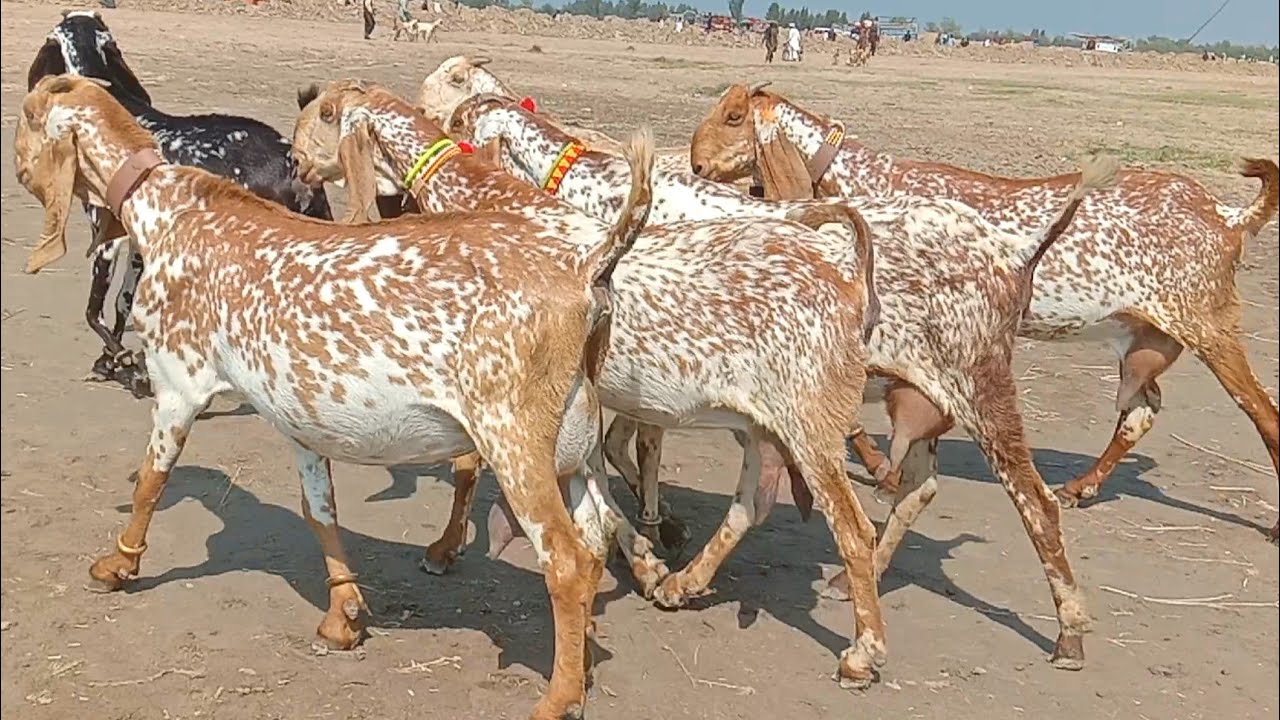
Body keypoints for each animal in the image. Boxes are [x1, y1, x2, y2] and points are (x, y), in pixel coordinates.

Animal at [16, 75, 640, 720]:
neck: (167, 210)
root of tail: (587, 269)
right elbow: (320, 512)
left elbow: (150, 482)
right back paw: (583, 662)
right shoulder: (300, 420)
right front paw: (344, 616)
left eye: (26, 117)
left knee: (565, 561)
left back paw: (558, 697)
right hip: (575, 446)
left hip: (514, 440)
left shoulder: (177, 383)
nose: (17, 166)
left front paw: (117, 564)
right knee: (596, 540)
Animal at [27, 10, 332, 397]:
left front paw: (128, 366)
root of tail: (290, 158)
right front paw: (109, 364)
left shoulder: (107, 243)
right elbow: (122, 305)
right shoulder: (137, 247)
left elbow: (93, 312)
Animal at [292, 81, 890, 691]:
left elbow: (471, 470)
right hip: (761, 423)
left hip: (811, 426)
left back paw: (861, 653)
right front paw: (646, 563)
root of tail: (841, 274)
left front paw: (444, 548)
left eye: (323, 116)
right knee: (752, 503)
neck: (485, 196)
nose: (295, 164)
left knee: (853, 531)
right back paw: (685, 581)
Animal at [440, 93, 1109, 671]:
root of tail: (1008, 250)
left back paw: (1065, 632)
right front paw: (660, 545)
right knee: (908, 489)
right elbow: (627, 464)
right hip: (904, 400)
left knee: (1034, 504)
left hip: (972, 389)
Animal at [690, 83, 1280, 543]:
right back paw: (1081, 486)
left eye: (735, 116)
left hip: (1209, 326)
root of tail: (1225, 215)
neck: (866, 182)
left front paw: (880, 468)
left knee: (1261, 412)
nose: (696, 163)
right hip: (1144, 336)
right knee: (1141, 411)